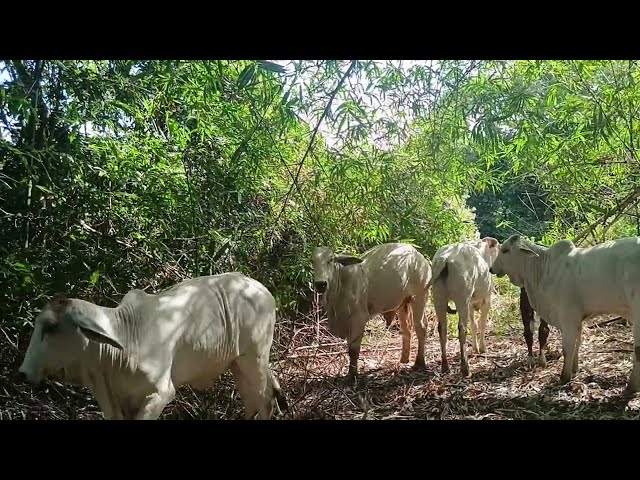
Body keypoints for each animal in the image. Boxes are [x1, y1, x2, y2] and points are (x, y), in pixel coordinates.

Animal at [18, 274, 288, 420]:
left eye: (50, 327)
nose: (22, 373)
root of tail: (263, 290)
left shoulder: (161, 394)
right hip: (239, 365)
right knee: (254, 402)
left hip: (254, 359)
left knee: (265, 401)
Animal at [312, 244, 432, 382]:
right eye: (312, 261)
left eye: (330, 260)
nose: (320, 284)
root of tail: (419, 256)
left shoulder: (358, 318)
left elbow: (353, 350)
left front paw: (352, 375)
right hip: (403, 303)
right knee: (407, 329)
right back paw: (404, 360)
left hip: (419, 297)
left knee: (421, 328)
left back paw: (420, 362)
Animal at [428, 238, 502, 376]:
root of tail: (445, 259)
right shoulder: (486, 300)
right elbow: (482, 324)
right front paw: (482, 348)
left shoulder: (470, 305)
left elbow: (474, 324)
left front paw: (476, 348)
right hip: (461, 298)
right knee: (462, 328)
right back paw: (465, 367)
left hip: (439, 297)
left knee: (442, 328)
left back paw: (445, 366)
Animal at [488, 233, 640, 394]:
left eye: (505, 250)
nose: (491, 269)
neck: (543, 269)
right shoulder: (578, 319)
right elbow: (577, 344)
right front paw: (574, 369)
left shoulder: (568, 317)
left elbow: (567, 348)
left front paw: (564, 377)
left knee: (638, 350)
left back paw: (631, 387)